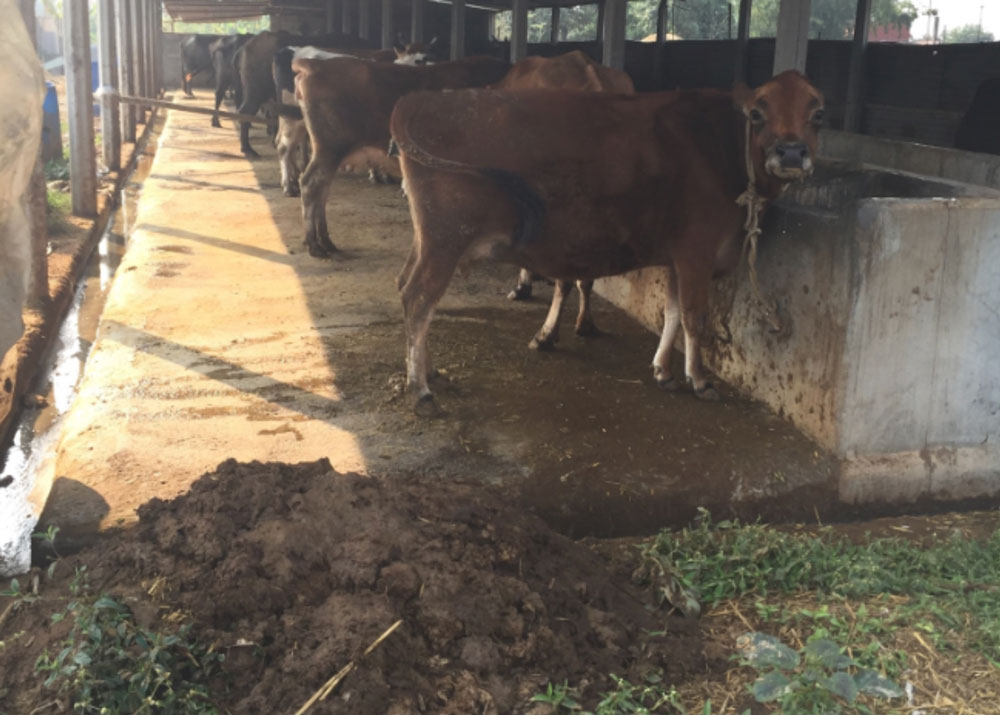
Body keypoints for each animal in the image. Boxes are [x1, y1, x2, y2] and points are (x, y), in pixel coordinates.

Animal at [286, 55, 511, 257]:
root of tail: (316, 64)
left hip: (331, 154)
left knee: (321, 191)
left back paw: (325, 241)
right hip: (330, 150)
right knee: (311, 185)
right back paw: (314, 245)